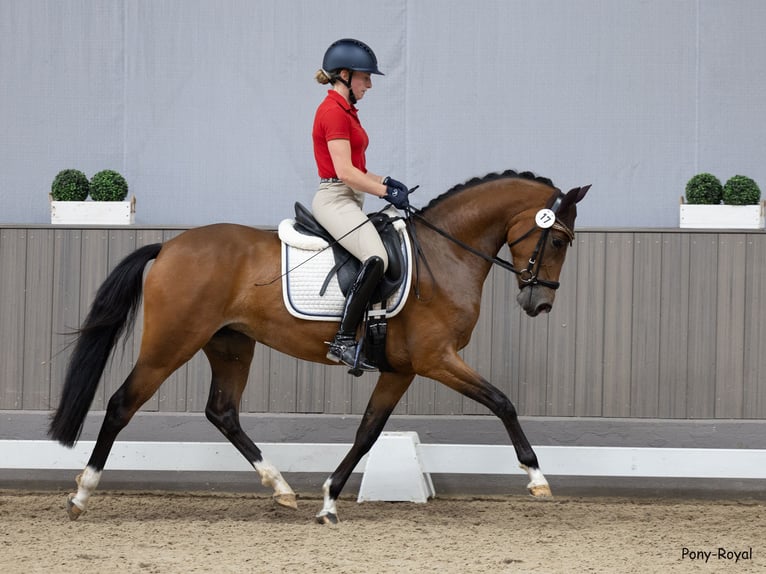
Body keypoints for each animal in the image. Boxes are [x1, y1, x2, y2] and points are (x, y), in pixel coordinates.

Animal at [49, 169, 592, 524]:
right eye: (557, 240)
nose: (539, 302)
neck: (445, 254)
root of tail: (168, 247)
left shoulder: (401, 369)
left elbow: (368, 432)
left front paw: (329, 500)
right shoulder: (436, 359)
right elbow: (502, 401)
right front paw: (537, 478)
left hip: (231, 345)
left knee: (222, 412)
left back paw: (282, 489)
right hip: (172, 342)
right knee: (122, 404)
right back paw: (82, 494)